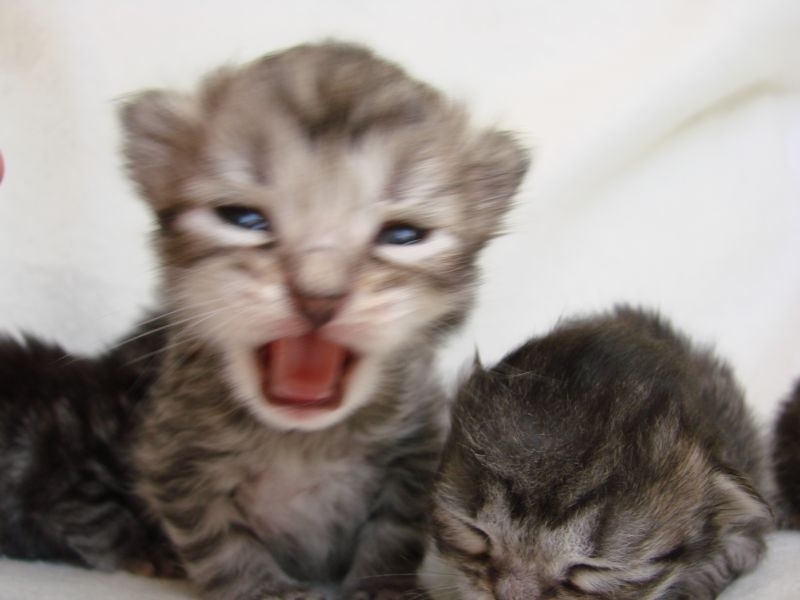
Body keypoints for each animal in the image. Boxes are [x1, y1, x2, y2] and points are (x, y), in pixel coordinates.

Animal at [121, 41, 529, 600]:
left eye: (403, 235)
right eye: (243, 219)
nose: (319, 295)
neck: (303, 439)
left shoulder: (414, 449)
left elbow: (393, 527)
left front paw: (383, 586)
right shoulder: (176, 457)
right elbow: (219, 537)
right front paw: (261, 590)